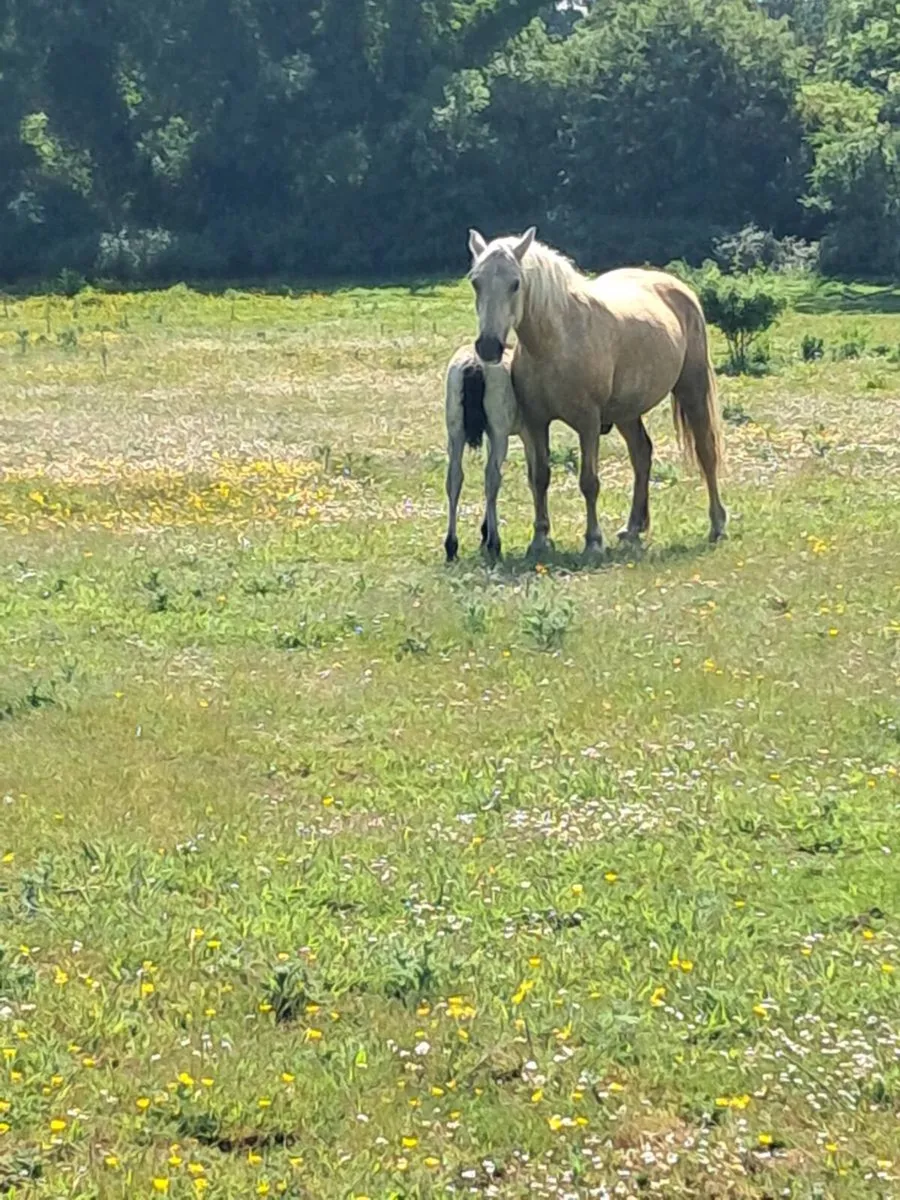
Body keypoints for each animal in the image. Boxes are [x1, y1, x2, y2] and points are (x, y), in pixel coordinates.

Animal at [467, 226, 727, 558]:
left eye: (515, 283)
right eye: (476, 282)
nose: (488, 346)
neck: (557, 342)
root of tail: (678, 289)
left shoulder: (588, 423)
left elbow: (589, 481)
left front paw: (593, 541)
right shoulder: (537, 422)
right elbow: (540, 477)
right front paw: (539, 539)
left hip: (692, 389)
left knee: (706, 451)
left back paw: (717, 525)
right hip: (627, 413)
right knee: (642, 454)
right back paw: (633, 528)